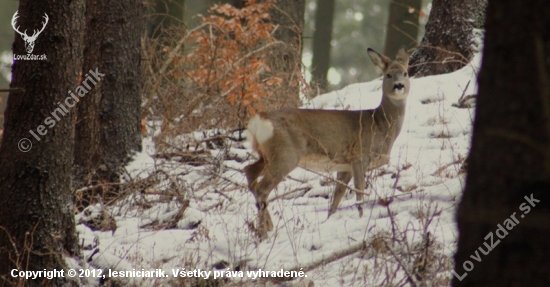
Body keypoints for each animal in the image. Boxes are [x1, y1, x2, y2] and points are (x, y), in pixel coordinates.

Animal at [245, 47, 410, 241]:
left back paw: (265, 227)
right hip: (286, 155)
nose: (399, 86)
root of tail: (259, 120)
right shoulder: (359, 155)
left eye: (406, 73)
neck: (380, 125)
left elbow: (336, 199)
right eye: (388, 74)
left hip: (266, 155)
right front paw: (362, 220)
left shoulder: (345, 166)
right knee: (262, 189)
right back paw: (264, 233)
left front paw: (329, 220)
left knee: (249, 172)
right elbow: (360, 194)